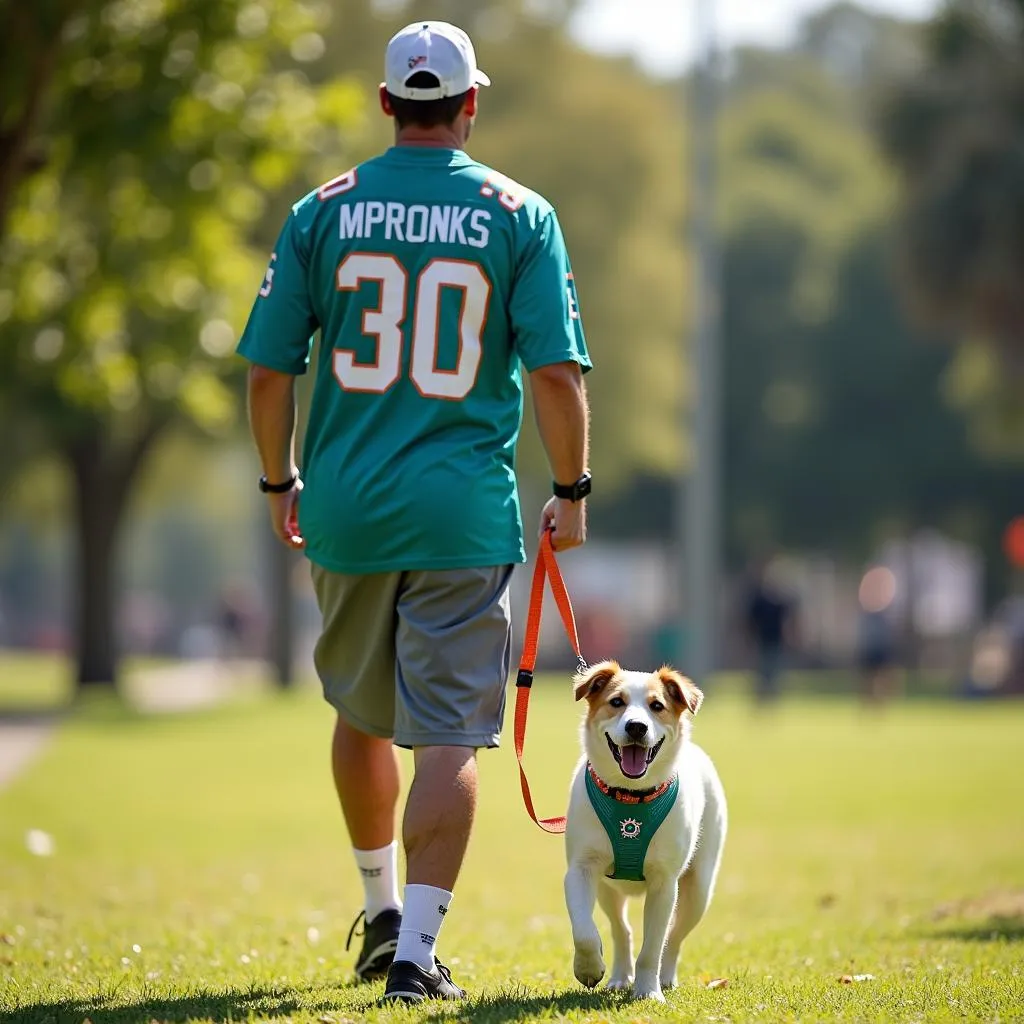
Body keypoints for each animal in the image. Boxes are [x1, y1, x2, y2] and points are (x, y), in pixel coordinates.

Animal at [565, 659, 724, 1003]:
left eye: (657, 706)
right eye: (616, 702)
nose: (637, 726)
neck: (630, 795)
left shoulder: (665, 883)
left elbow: (653, 947)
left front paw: (648, 991)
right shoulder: (581, 869)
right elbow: (584, 931)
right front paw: (588, 968)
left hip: (699, 888)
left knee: (673, 937)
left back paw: (665, 978)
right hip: (607, 888)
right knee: (621, 930)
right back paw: (619, 976)